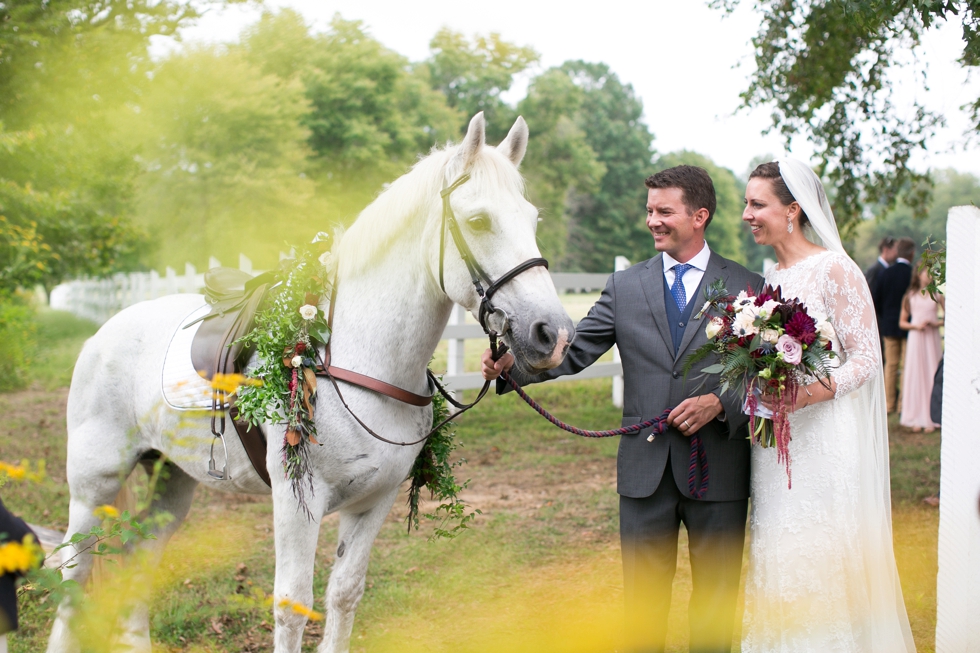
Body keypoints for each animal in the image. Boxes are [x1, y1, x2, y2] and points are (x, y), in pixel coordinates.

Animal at [47, 114, 576, 648]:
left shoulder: (374, 502)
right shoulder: (297, 501)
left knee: (140, 558)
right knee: (74, 571)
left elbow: (344, 594)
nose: (553, 334)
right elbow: (292, 606)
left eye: (532, 220)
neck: (354, 360)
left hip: (172, 479)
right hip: (94, 484)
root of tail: (104, 333)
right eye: (479, 221)